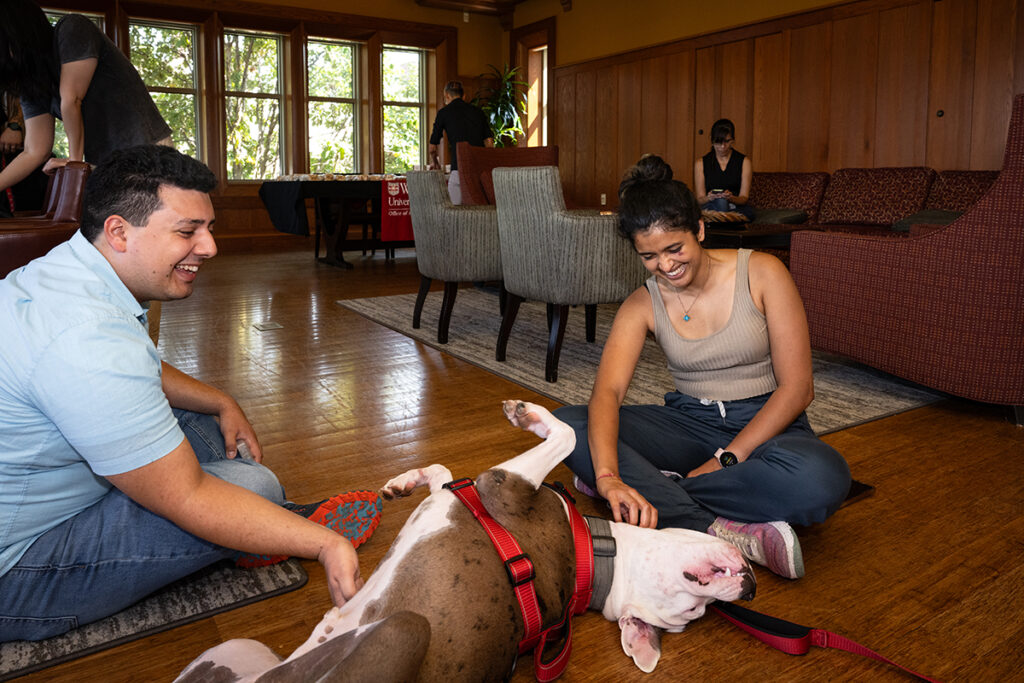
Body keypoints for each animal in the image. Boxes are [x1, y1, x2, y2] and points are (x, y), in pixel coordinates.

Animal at [176, 401, 753, 683]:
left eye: (690, 613)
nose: (747, 588)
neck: (595, 556)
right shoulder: (464, 494)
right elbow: (442, 474)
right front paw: (403, 482)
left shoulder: (500, 486)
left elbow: (566, 434)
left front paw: (529, 413)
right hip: (236, 650)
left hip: (393, 631)